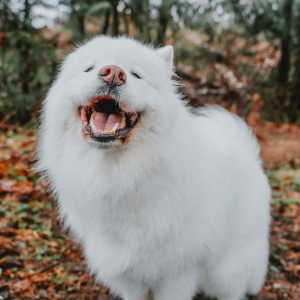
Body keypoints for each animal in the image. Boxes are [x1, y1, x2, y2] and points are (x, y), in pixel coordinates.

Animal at [37, 35, 270, 300]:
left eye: (137, 74)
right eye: (89, 68)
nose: (113, 73)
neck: (122, 174)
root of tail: (247, 150)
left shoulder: (178, 271)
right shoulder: (126, 272)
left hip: (226, 272)